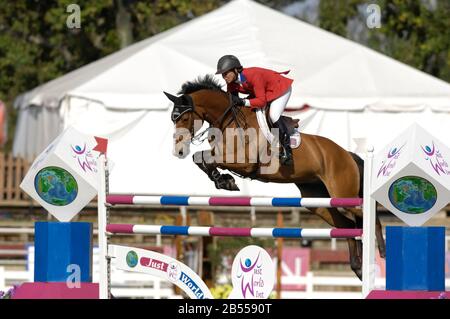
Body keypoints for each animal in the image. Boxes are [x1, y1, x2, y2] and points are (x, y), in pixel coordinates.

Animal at [163, 75, 384, 280]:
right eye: (173, 119)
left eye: (184, 118)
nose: (178, 150)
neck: (228, 121)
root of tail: (347, 154)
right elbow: (200, 158)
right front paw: (222, 180)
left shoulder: (245, 163)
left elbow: (208, 159)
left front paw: (226, 181)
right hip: (318, 201)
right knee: (346, 225)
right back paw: (358, 268)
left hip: (342, 194)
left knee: (367, 215)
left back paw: (381, 249)